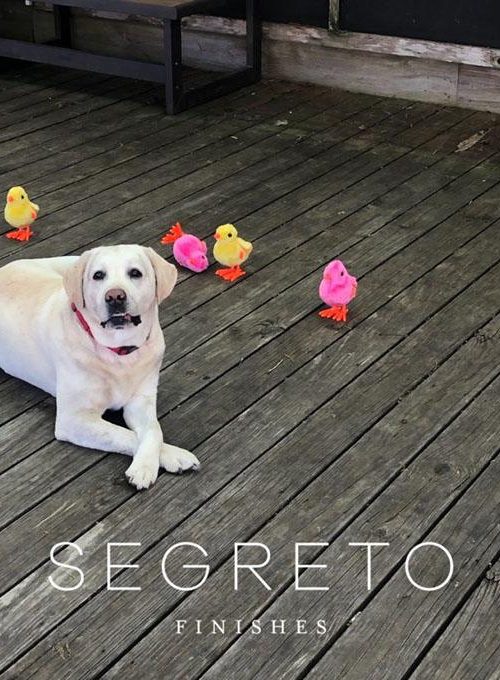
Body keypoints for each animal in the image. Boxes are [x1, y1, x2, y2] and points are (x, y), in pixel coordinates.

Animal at [0, 245, 200, 490]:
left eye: (135, 273)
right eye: (98, 275)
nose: (115, 296)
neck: (119, 352)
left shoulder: (140, 401)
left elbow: (154, 430)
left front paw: (160, 460)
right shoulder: (73, 419)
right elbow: (125, 435)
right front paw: (152, 465)